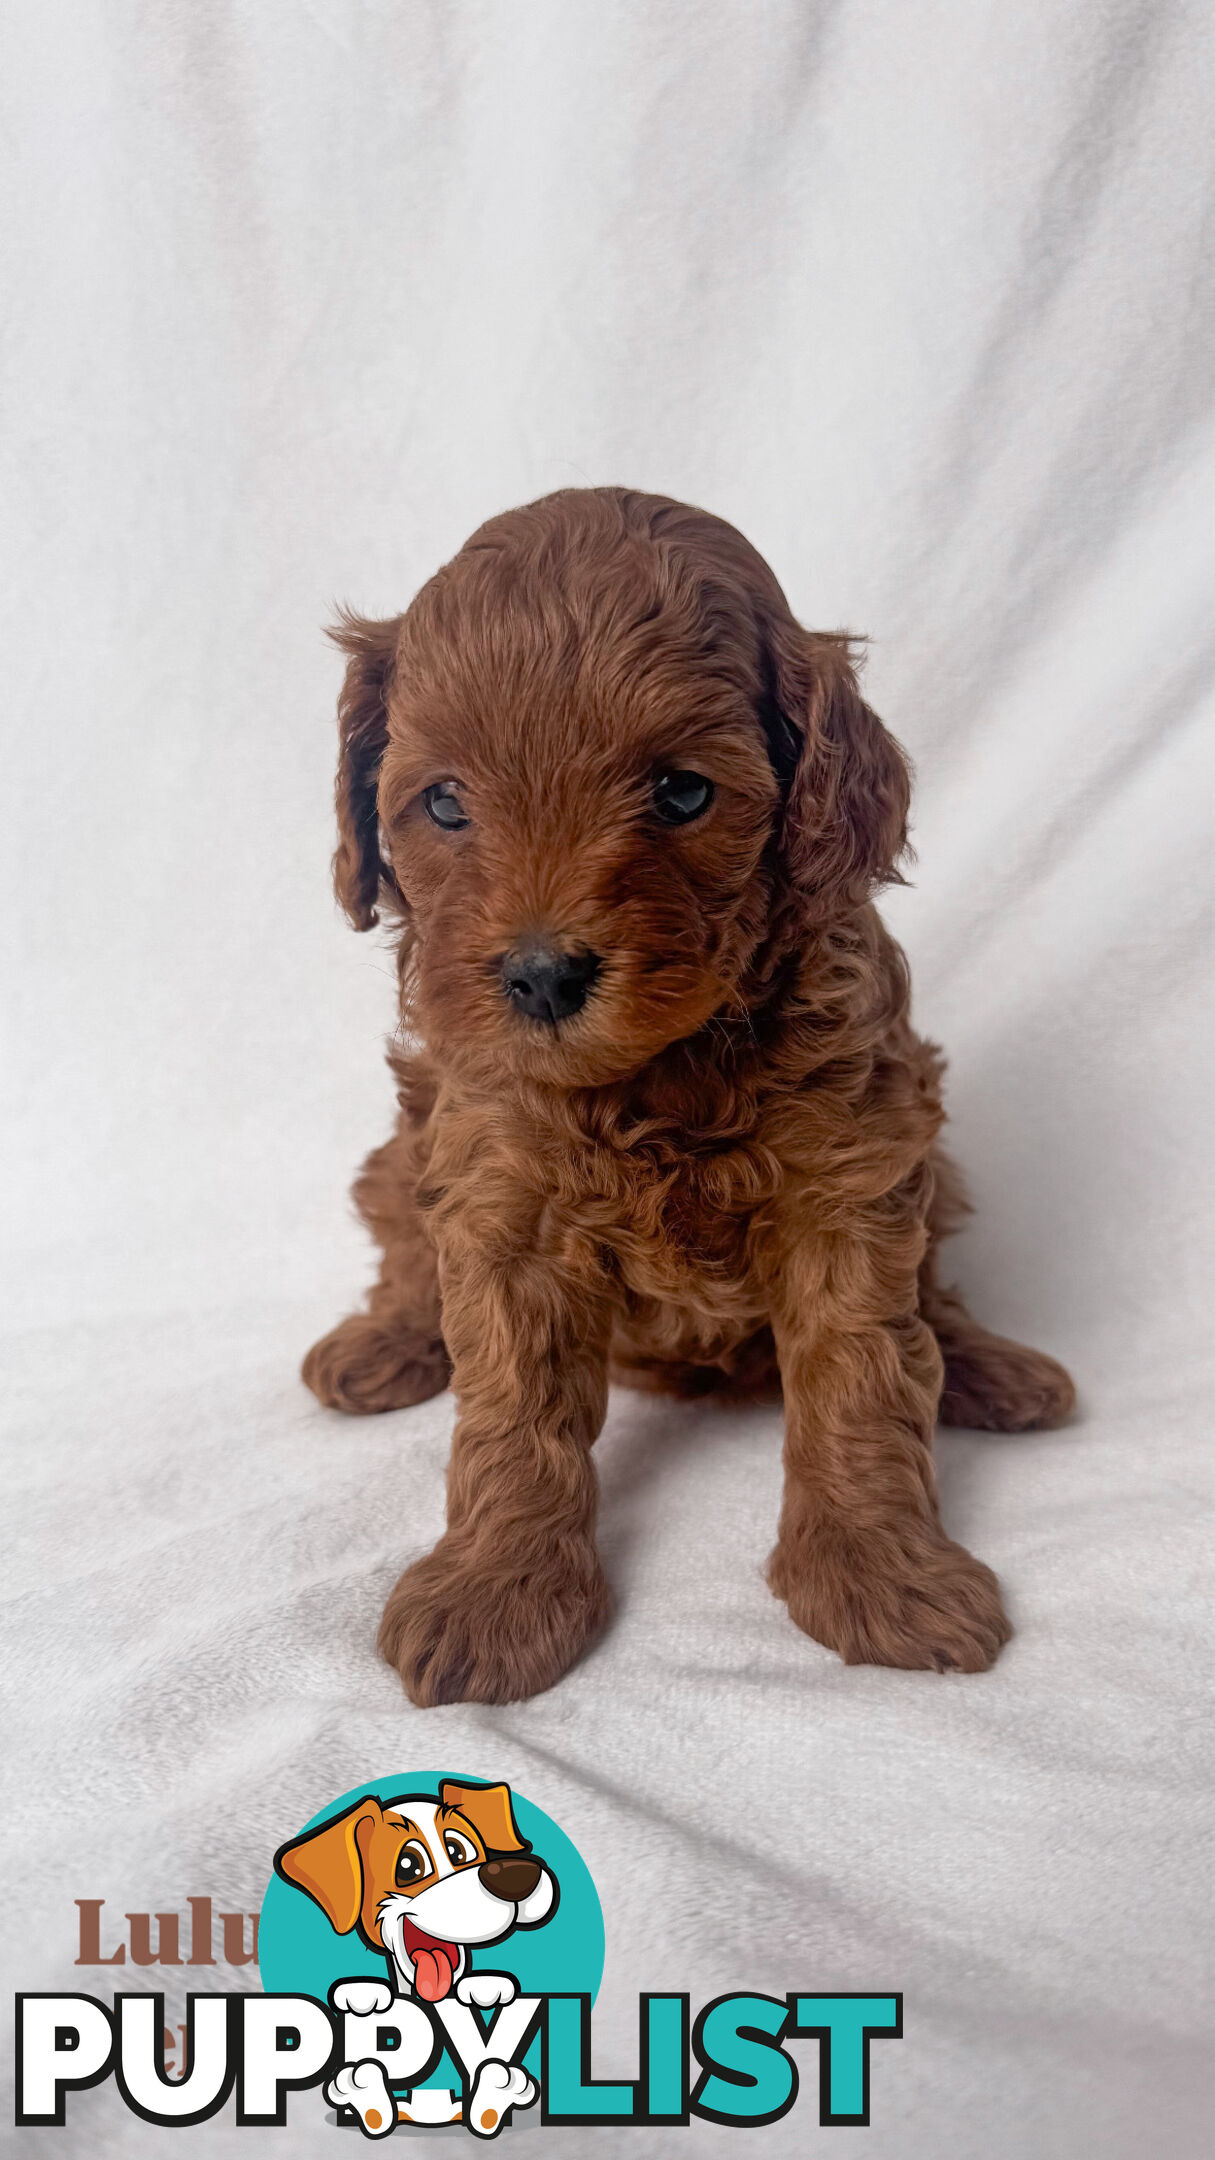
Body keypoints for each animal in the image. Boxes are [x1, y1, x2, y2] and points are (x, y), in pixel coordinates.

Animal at [304, 490, 1067, 1702]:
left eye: (681, 791)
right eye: (444, 802)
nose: (540, 975)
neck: (656, 1077)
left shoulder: (851, 1178)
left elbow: (863, 1375)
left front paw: (880, 1574)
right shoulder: (502, 1197)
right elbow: (511, 1410)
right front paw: (496, 1593)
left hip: (928, 1150)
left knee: (932, 1304)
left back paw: (991, 1370)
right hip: (403, 1149)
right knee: (405, 1251)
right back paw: (384, 1345)